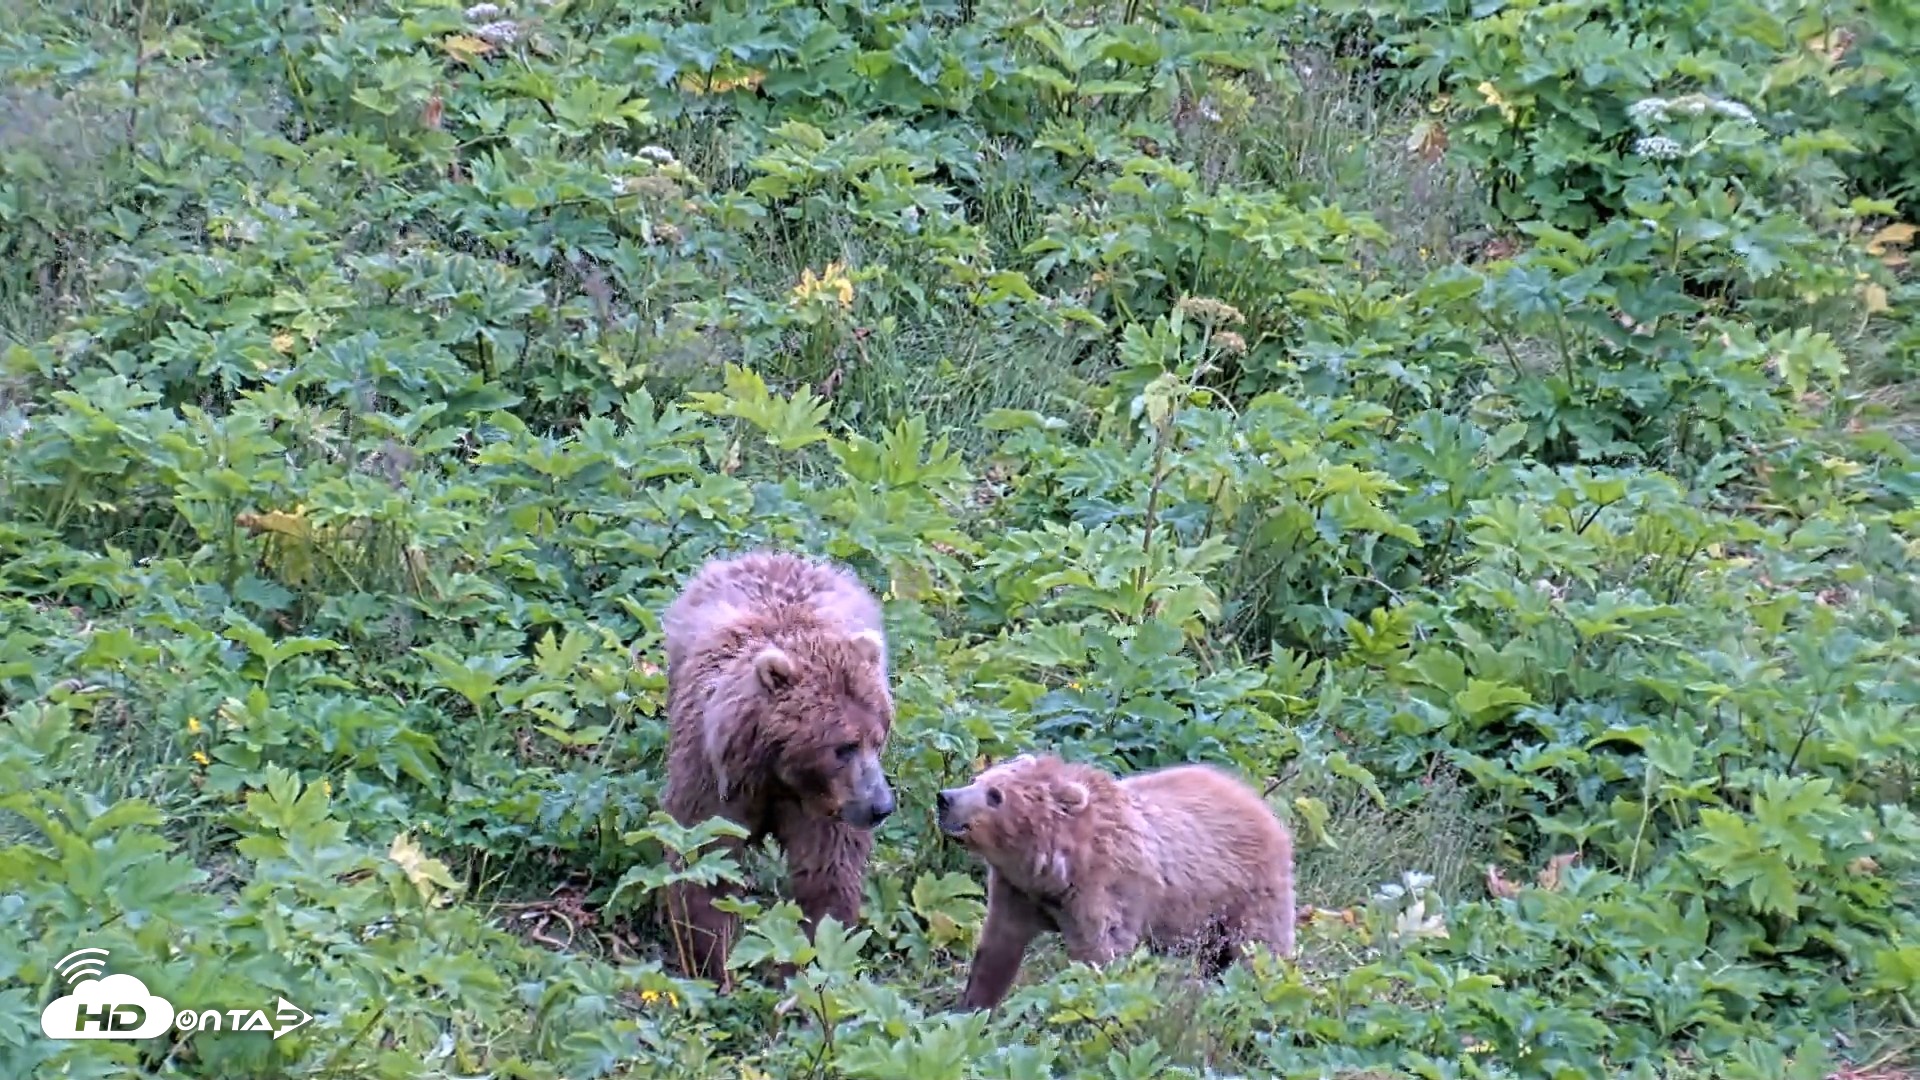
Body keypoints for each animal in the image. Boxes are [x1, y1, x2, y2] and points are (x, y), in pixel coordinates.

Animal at [655, 549, 898, 990]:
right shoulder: (716, 778)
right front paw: (717, 963)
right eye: (844, 746)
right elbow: (706, 854)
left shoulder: (825, 807)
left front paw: (808, 964)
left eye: (878, 737)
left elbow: (826, 874)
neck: (779, 772)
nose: (880, 806)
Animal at [935, 752, 1296, 1011]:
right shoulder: (1017, 891)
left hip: (1247, 892)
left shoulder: (1106, 886)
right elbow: (998, 948)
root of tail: (1263, 805)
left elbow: (1102, 952)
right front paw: (971, 1008)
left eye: (995, 795)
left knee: (1258, 948)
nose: (945, 798)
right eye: (977, 779)